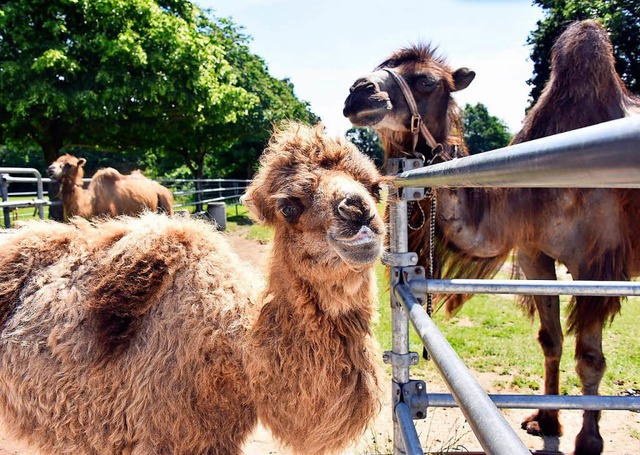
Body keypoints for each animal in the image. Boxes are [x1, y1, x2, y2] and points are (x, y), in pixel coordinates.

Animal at [344, 19, 640, 455]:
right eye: (382, 67)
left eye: (428, 81)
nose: (359, 92)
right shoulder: (534, 254)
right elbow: (550, 340)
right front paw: (545, 420)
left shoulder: (598, 263)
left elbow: (589, 355)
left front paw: (588, 440)